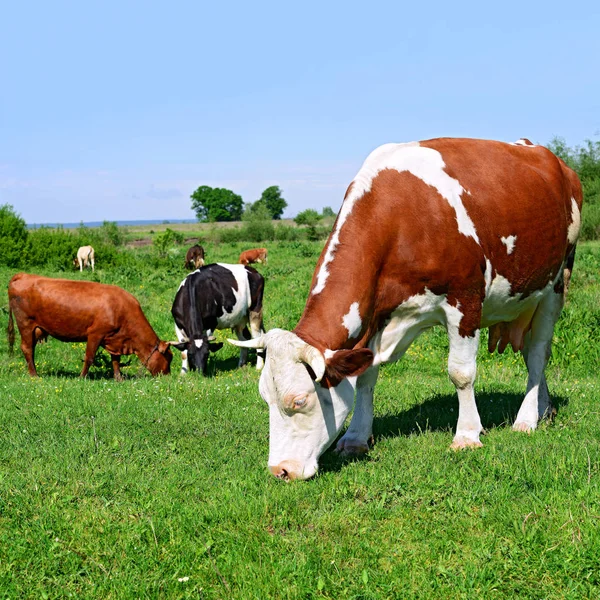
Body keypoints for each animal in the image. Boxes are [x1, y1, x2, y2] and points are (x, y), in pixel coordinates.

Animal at [7, 274, 172, 380]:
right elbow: (89, 357)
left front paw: (119, 378)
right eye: (169, 358)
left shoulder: (114, 338)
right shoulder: (95, 334)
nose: (168, 376)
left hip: (36, 328)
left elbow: (115, 360)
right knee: (27, 348)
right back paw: (34, 375)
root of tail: (23, 275)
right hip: (25, 323)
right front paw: (82, 377)